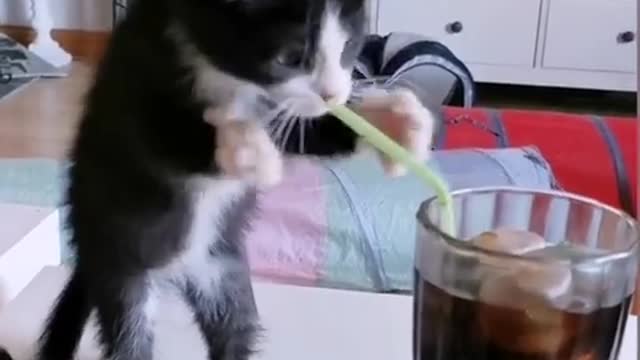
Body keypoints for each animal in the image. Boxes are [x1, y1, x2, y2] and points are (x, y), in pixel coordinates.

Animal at [11, 0, 436, 360]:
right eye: (291, 57)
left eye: (349, 46)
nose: (334, 94)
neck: (229, 77)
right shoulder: (132, 82)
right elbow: (161, 137)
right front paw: (246, 146)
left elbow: (303, 126)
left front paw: (395, 123)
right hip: (122, 266)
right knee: (129, 337)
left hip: (223, 273)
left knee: (235, 329)